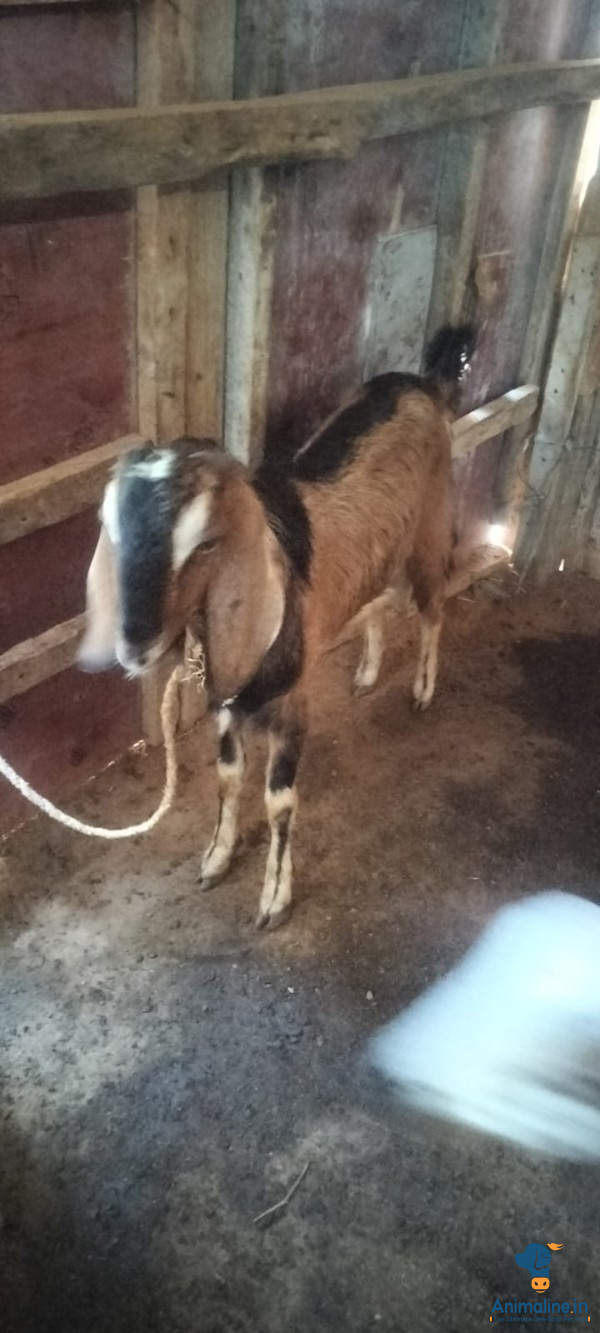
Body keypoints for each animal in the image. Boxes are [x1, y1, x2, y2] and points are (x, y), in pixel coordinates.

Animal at [79, 324, 475, 929]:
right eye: (113, 531)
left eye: (207, 544)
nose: (135, 646)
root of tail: (421, 382)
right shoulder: (227, 701)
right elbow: (227, 775)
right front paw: (216, 857)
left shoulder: (291, 705)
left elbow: (279, 801)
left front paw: (273, 898)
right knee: (379, 599)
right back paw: (367, 672)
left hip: (431, 524)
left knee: (432, 607)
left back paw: (424, 690)